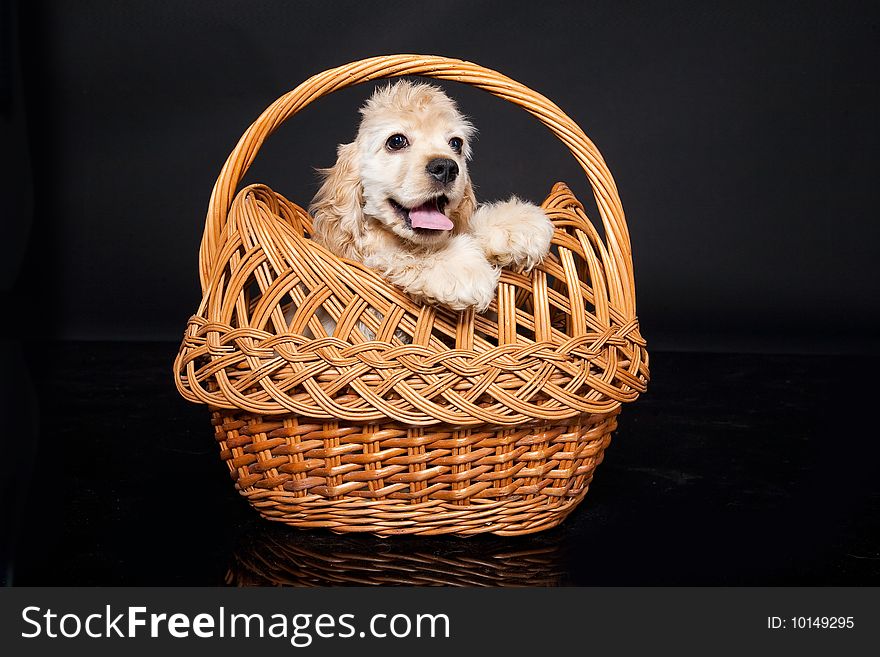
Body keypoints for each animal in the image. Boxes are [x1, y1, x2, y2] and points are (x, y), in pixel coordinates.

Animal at [312, 81, 552, 312]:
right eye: (396, 141)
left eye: (456, 143)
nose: (446, 167)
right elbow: (396, 252)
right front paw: (461, 268)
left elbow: (466, 228)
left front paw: (519, 224)